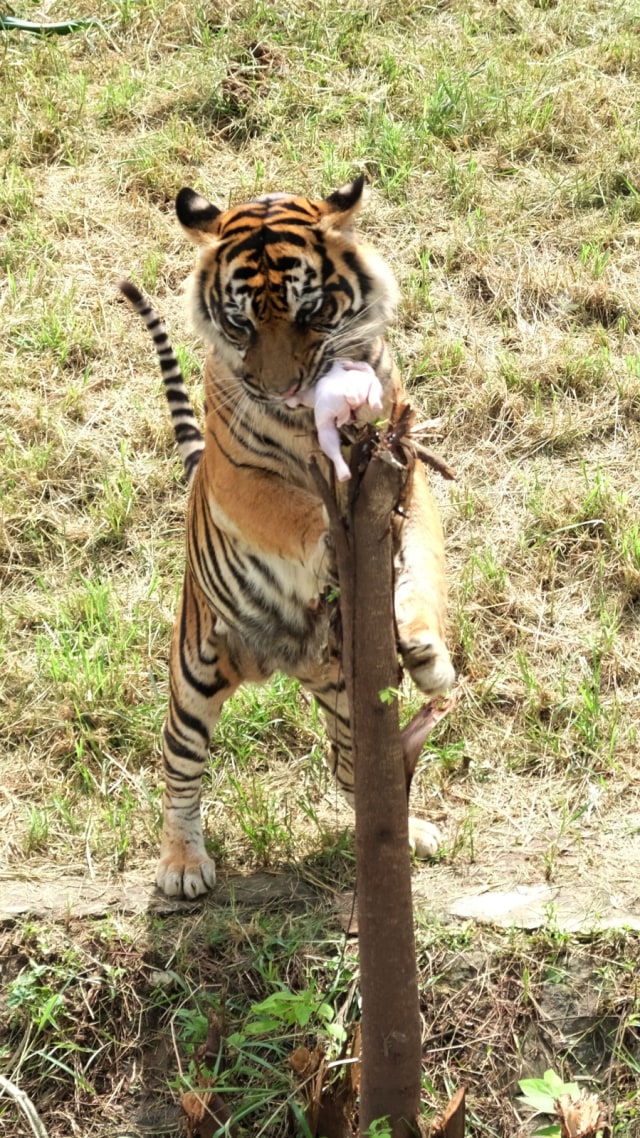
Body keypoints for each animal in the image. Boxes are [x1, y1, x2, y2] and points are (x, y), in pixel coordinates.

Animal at [118, 172, 448, 896]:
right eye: (240, 322)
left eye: (311, 311)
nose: (282, 387)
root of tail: (286, 663)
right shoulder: (239, 475)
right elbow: (290, 511)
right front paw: (325, 538)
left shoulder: (408, 469)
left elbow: (420, 564)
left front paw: (427, 649)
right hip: (195, 671)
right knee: (179, 764)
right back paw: (182, 865)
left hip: (350, 702)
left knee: (360, 773)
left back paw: (407, 831)